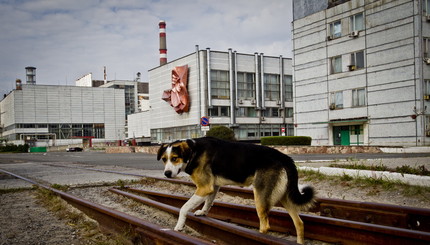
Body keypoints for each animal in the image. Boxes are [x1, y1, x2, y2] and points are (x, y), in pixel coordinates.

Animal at [156, 137, 314, 244]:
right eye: (164, 159)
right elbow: (209, 202)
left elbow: (184, 207)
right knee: (299, 223)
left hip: (261, 196)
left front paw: (179, 225)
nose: (167, 174)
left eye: (175, 158)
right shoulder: (212, 187)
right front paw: (203, 212)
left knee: (265, 225)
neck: (193, 151)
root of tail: (284, 157)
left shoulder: (204, 188)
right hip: (284, 196)